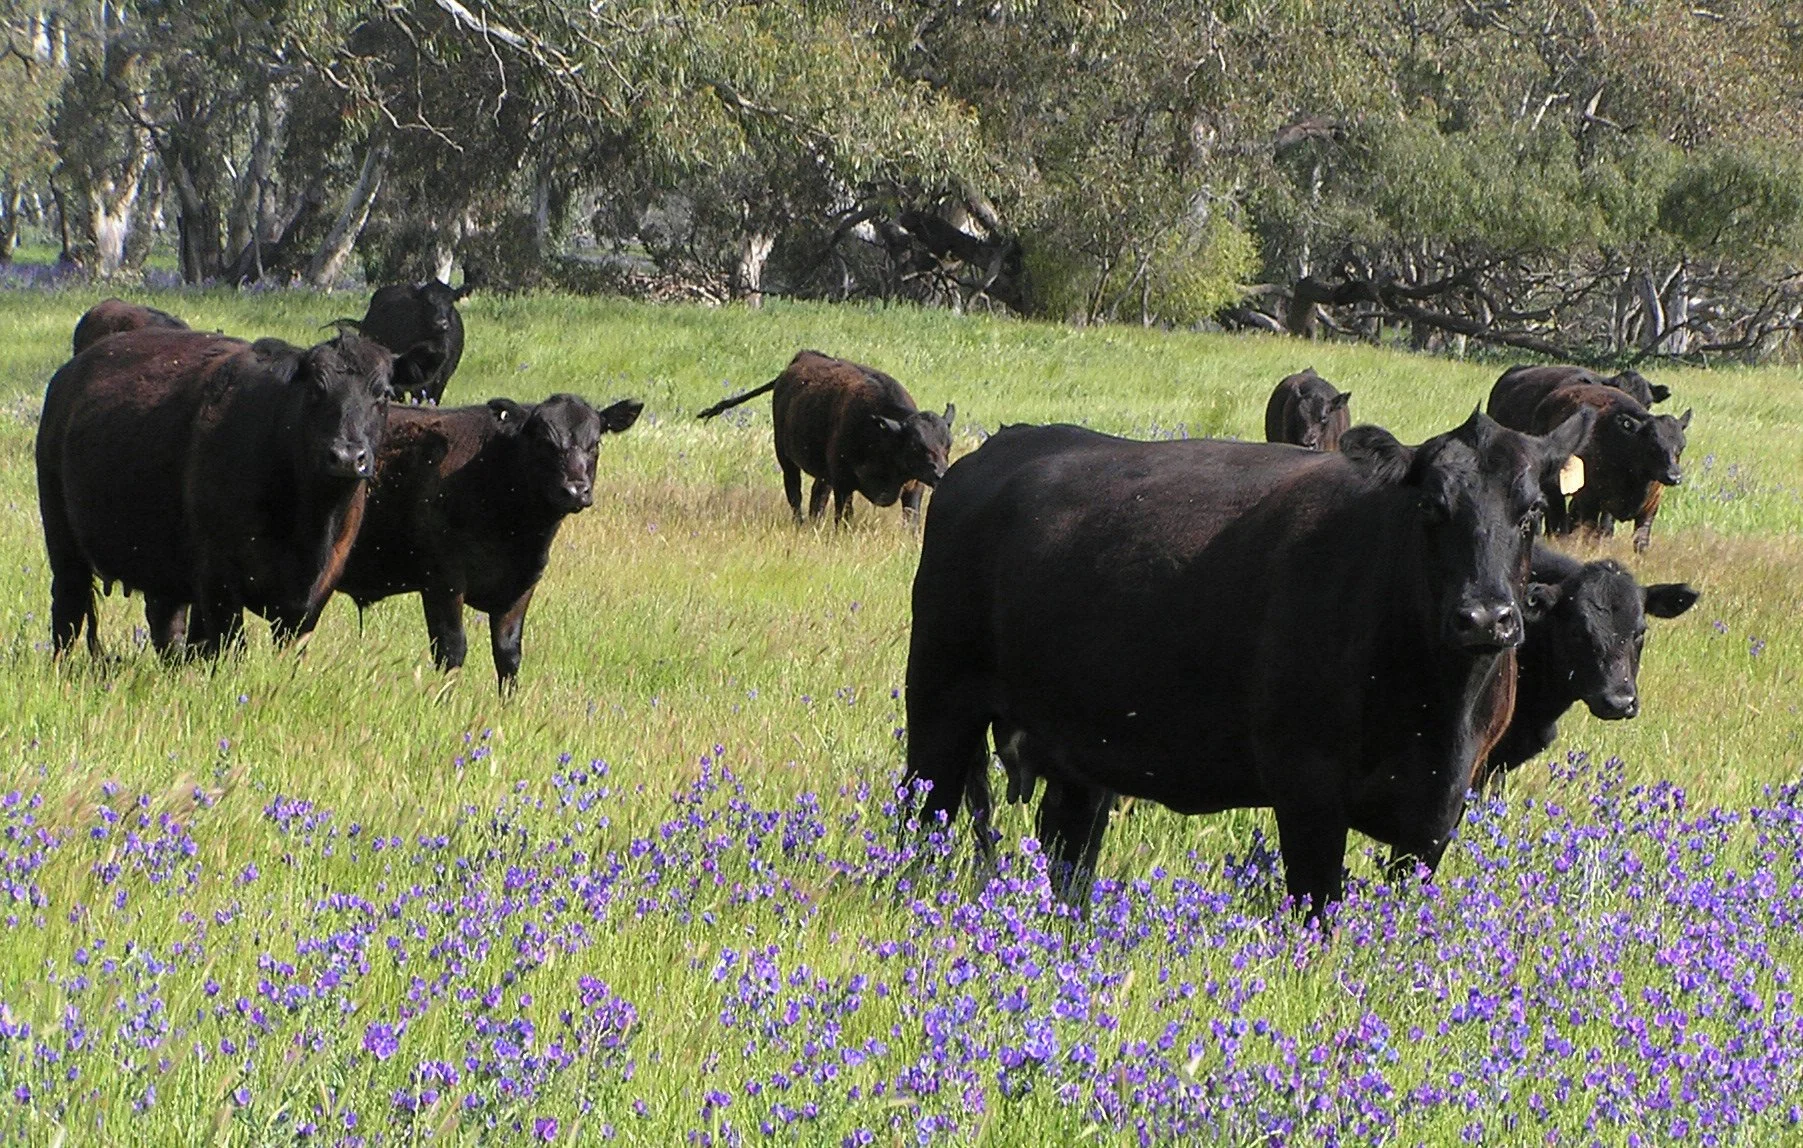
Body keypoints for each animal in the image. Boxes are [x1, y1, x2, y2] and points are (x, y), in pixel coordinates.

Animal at [37, 328, 394, 658]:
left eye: (383, 395)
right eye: (317, 389)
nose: (347, 456)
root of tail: (69, 372)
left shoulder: (315, 593)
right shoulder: (217, 579)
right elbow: (230, 648)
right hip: (63, 543)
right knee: (67, 613)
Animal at [318, 393, 642, 689]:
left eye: (595, 444)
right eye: (544, 443)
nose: (575, 490)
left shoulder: (522, 584)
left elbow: (508, 655)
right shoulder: (443, 580)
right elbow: (451, 650)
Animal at [697, 350, 955, 526]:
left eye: (948, 446)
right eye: (915, 446)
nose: (941, 474)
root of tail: (802, 357)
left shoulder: (913, 488)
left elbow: (911, 522)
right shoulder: (843, 483)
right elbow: (844, 517)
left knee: (817, 496)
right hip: (785, 458)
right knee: (796, 494)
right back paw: (801, 523)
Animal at [903, 408, 1592, 919]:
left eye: (1533, 512)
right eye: (1430, 507)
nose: (1485, 618)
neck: (1435, 705)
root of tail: (996, 450)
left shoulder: (1439, 812)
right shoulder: (1307, 786)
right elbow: (1317, 911)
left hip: (1078, 750)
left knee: (1067, 848)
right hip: (940, 700)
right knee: (922, 815)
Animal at [1507, 384, 1691, 551]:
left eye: (1681, 447)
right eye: (1653, 445)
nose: (1674, 477)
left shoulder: (1649, 508)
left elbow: (1638, 541)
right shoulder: (1590, 501)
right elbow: (1589, 533)